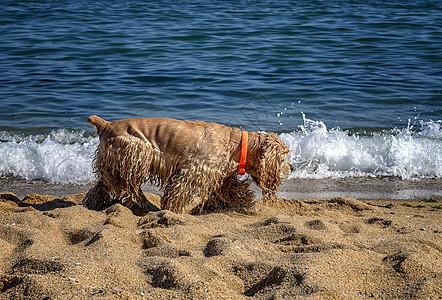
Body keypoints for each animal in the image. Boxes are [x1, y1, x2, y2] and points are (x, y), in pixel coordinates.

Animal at [85, 115, 294, 213]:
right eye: (283, 159)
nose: (293, 167)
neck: (237, 145)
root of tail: (106, 124)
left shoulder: (221, 175)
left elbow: (231, 189)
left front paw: (240, 202)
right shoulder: (194, 170)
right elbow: (179, 192)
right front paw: (173, 210)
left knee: (104, 185)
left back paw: (96, 203)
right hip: (136, 151)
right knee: (124, 183)